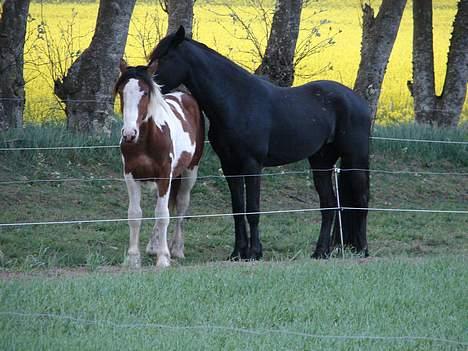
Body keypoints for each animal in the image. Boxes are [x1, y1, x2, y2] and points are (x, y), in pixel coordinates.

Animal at [114, 61, 204, 270]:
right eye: (121, 91)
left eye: (146, 92)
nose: (129, 134)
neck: (146, 140)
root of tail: (184, 95)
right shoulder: (131, 176)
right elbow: (135, 215)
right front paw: (133, 258)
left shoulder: (164, 176)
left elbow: (163, 215)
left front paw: (163, 258)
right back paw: (153, 246)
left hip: (189, 173)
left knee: (180, 208)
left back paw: (177, 249)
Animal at [148, 26, 372, 260]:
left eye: (165, 57)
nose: (147, 84)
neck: (237, 101)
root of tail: (359, 102)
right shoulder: (230, 167)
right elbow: (238, 210)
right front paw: (238, 252)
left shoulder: (252, 165)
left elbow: (253, 210)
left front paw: (254, 252)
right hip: (321, 161)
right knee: (328, 205)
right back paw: (320, 252)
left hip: (355, 158)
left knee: (362, 200)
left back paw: (363, 249)